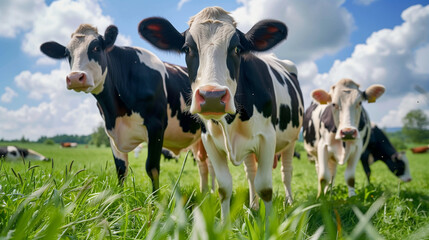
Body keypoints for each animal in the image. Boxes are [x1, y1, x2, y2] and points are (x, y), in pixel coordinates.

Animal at [39, 23, 212, 193]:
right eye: (67, 53)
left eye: (96, 48)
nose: (75, 77)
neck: (116, 111)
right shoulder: (111, 132)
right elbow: (121, 170)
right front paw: (118, 199)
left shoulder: (156, 126)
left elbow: (152, 168)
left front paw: (155, 200)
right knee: (203, 163)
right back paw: (204, 194)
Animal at [139, 6, 302, 219]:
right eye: (187, 48)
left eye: (237, 49)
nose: (212, 96)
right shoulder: (209, 141)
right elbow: (224, 187)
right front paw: (225, 223)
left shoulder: (267, 137)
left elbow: (265, 187)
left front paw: (269, 224)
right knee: (251, 172)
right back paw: (253, 205)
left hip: (291, 140)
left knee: (286, 172)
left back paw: (289, 202)